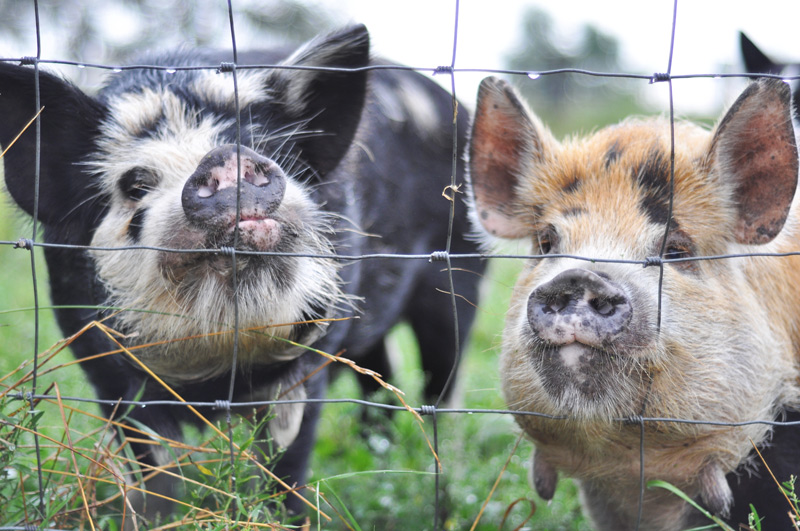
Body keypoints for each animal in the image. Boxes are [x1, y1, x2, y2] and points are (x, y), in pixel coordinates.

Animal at [0, 25, 483, 519]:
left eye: (273, 154)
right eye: (135, 184)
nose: (225, 157)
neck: (214, 368)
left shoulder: (310, 356)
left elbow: (286, 456)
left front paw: (286, 517)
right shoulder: (102, 363)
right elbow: (154, 461)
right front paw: (160, 517)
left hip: (460, 266)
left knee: (442, 378)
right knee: (380, 374)